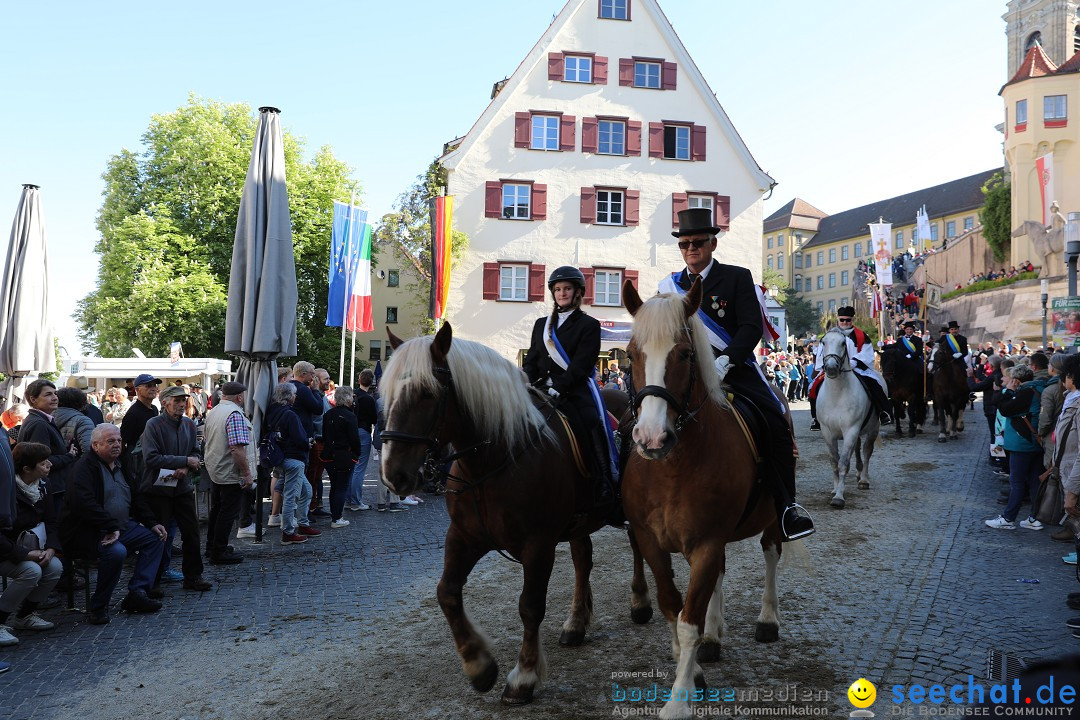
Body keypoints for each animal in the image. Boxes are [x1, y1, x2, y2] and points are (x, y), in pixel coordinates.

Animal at [382, 325, 630, 703]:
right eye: (388, 391)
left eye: (426, 393)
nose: (393, 474)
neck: (493, 458)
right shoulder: (464, 536)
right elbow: (447, 593)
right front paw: (478, 666)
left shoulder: (538, 546)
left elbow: (530, 606)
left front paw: (523, 677)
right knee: (583, 561)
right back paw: (576, 624)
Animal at [622, 278, 790, 720]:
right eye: (630, 354)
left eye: (684, 354)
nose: (651, 439)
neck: (673, 467)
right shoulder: (651, 541)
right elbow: (671, 605)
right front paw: (693, 667)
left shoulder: (707, 542)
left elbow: (688, 619)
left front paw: (679, 699)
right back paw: (714, 639)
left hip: (772, 518)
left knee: (771, 553)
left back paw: (768, 619)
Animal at [812, 330, 881, 509]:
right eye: (823, 342)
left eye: (843, 343)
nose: (831, 368)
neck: (837, 395)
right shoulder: (827, 432)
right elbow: (834, 461)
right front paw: (835, 489)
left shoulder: (851, 430)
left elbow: (843, 463)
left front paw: (839, 497)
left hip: (873, 429)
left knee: (867, 450)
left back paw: (863, 479)